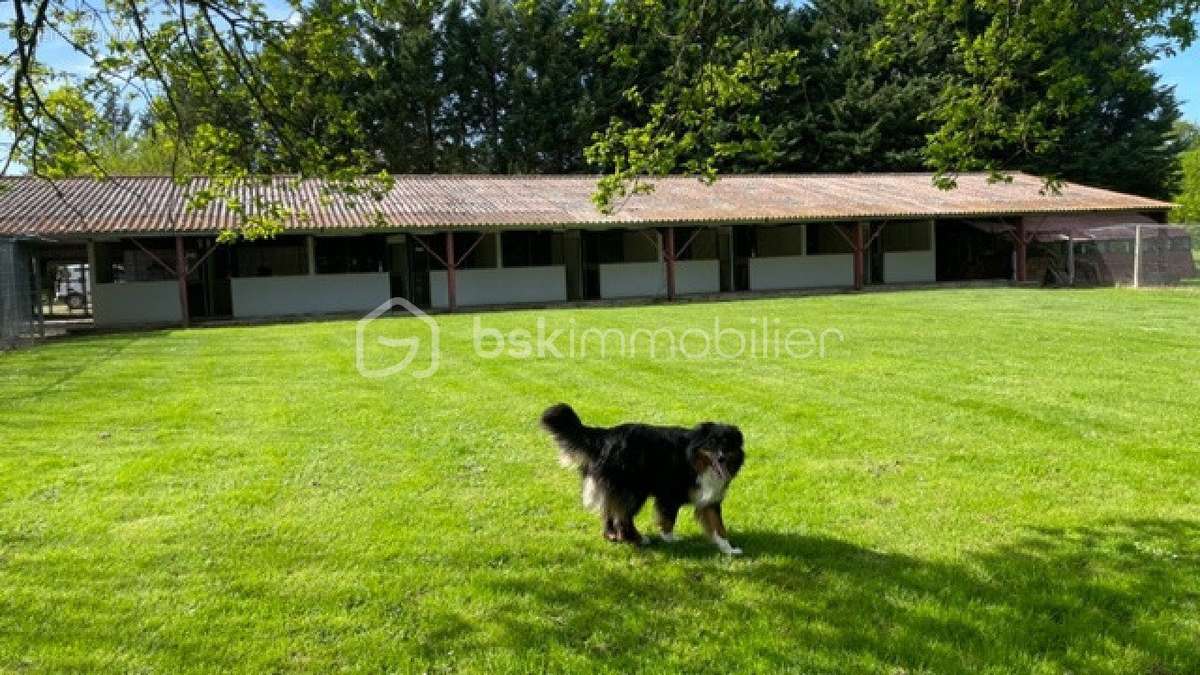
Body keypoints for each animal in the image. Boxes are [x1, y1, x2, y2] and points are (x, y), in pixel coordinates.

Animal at [542, 401, 744, 554]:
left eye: (727, 445)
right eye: (711, 443)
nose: (721, 458)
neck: (694, 459)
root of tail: (606, 435)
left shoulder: (710, 500)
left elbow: (718, 526)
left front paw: (728, 549)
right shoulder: (669, 494)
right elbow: (668, 519)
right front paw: (670, 539)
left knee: (610, 512)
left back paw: (612, 536)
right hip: (633, 490)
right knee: (623, 518)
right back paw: (637, 539)